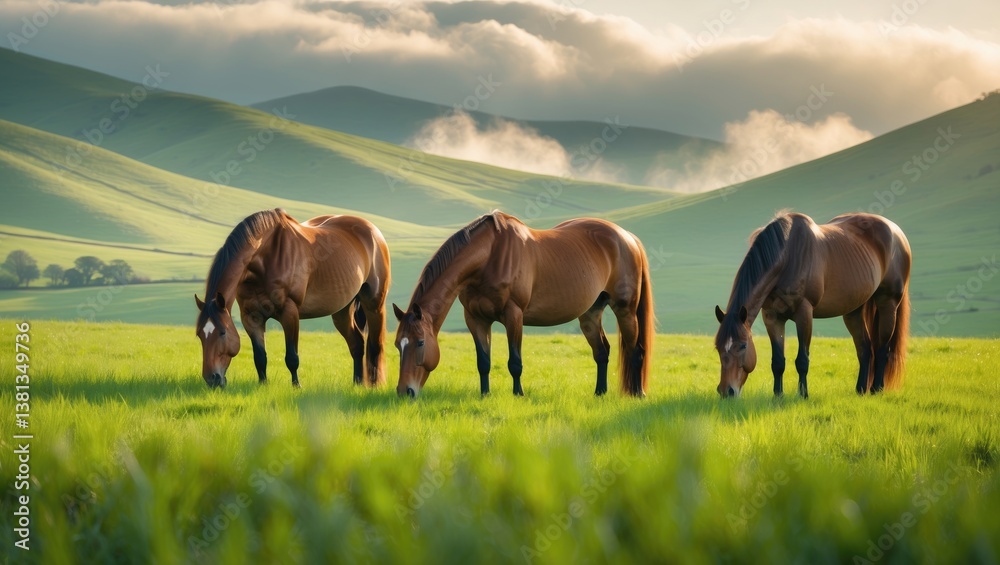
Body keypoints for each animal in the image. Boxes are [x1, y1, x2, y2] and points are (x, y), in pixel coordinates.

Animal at [195, 208, 391, 389]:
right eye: (199, 335)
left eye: (222, 332)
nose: (211, 379)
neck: (266, 257)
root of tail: (373, 231)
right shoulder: (251, 317)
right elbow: (260, 357)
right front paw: (263, 384)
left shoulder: (289, 312)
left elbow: (292, 357)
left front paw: (296, 386)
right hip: (342, 310)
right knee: (357, 344)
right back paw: (357, 383)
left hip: (374, 305)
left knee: (375, 346)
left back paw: (374, 385)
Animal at [392, 210, 654, 398]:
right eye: (397, 344)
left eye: (420, 342)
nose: (405, 391)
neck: (489, 256)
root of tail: (627, 237)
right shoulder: (476, 319)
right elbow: (483, 362)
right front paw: (485, 395)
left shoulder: (513, 315)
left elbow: (515, 362)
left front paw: (518, 394)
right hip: (590, 314)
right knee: (602, 352)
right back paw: (600, 392)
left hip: (625, 310)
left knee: (636, 350)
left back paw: (638, 393)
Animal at [714, 211, 911, 398]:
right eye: (718, 347)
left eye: (743, 346)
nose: (726, 391)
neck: (787, 257)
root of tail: (897, 232)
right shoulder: (772, 317)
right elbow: (777, 362)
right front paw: (778, 396)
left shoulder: (804, 313)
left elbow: (802, 360)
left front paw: (803, 395)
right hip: (854, 310)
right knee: (865, 349)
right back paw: (861, 389)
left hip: (888, 303)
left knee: (882, 349)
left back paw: (877, 389)